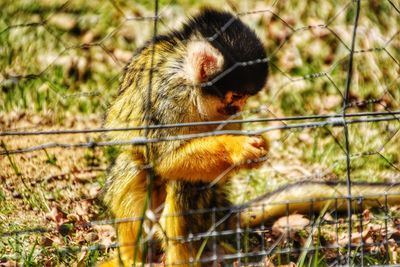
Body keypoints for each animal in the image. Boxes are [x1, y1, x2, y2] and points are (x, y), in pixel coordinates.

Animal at [101, 8, 270, 267]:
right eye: (236, 96)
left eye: (244, 99)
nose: (239, 108)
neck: (191, 88)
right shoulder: (169, 95)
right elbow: (164, 159)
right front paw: (236, 147)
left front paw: (256, 151)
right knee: (141, 165)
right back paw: (138, 257)